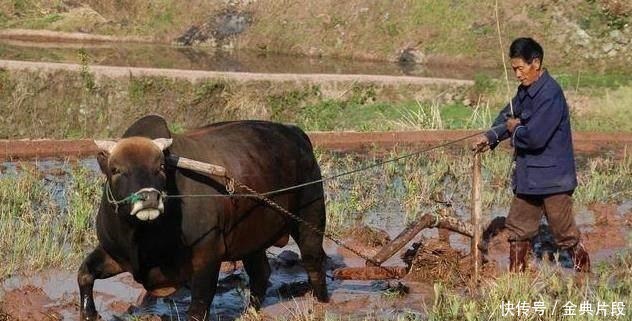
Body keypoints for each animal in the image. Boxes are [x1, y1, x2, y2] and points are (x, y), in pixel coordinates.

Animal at [77, 115, 328, 320]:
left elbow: (198, 306)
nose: (149, 198)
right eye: (116, 170)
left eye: (160, 167)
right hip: (251, 238)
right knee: (261, 273)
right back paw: (250, 311)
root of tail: (295, 132)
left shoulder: (207, 255)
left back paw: (321, 303)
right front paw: (90, 314)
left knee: (313, 262)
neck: (142, 237)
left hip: (310, 218)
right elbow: (84, 274)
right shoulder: (115, 253)